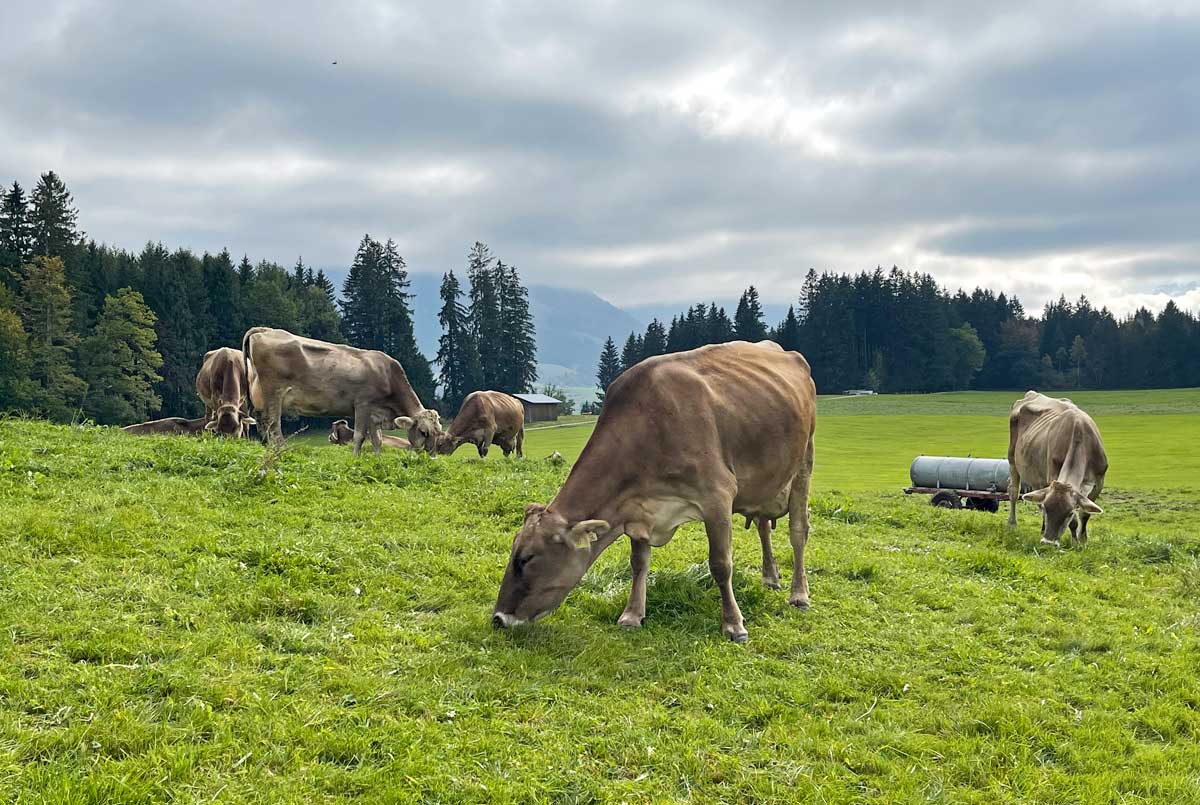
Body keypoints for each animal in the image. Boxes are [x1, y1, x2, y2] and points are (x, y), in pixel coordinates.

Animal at [242, 327, 441, 456]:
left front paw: (378, 458)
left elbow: (377, 439)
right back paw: (281, 451)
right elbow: (360, 436)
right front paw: (355, 458)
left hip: (258, 395)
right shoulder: (362, 404)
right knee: (273, 425)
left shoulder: (375, 413)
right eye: (423, 432)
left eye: (438, 431)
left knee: (262, 424)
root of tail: (264, 330)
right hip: (273, 393)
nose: (431, 455)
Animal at [492, 340, 817, 643]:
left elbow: (721, 564)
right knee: (763, 525)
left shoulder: (717, 496)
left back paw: (798, 594)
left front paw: (733, 624)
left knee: (798, 531)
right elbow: (638, 564)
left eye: (527, 558)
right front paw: (632, 614)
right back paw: (770, 576)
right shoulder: (636, 507)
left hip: (804, 460)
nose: (498, 618)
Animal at [1008, 390, 1107, 547]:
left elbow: (1085, 514)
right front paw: (1074, 542)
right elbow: (1074, 522)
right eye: (1047, 508)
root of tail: (1032, 394)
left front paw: (1082, 540)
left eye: (1069, 513)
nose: (1048, 542)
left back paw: (1042, 528)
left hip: (1037, 475)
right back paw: (1013, 523)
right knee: (1013, 490)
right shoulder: (1053, 475)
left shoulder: (1099, 481)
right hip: (1012, 458)